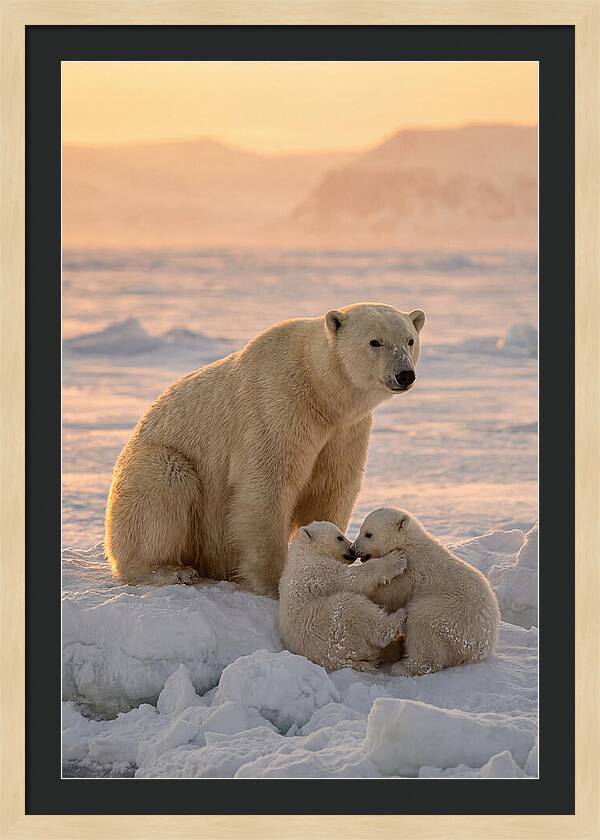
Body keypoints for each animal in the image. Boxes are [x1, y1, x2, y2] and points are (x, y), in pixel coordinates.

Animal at [104, 302, 425, 595]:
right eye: (375, 341)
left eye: (409, 340)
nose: (404, 374)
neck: (320, 391)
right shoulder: (277, 406)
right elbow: (268, 484)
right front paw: (275, 580)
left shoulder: (344, 431)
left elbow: (331, 485)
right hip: (155, 462)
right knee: (165, 484)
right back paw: (170, 570)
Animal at [278, 521, 408, 673]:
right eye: (339, 537)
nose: (352, 549)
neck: (305, 552)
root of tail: (339, 661)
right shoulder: (319, 570)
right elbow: (352, 578)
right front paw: (396, 559)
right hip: (332, 628)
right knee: (352, 607)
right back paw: (399, 616)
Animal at [350, 508, 500, 676]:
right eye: (361, 530)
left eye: (368, 534)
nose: (352, 549)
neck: (407, 544)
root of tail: (481, 649)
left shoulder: (408, 574)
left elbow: (388, 594)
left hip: (451, 616)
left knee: (421, 622)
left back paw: (403, 667)